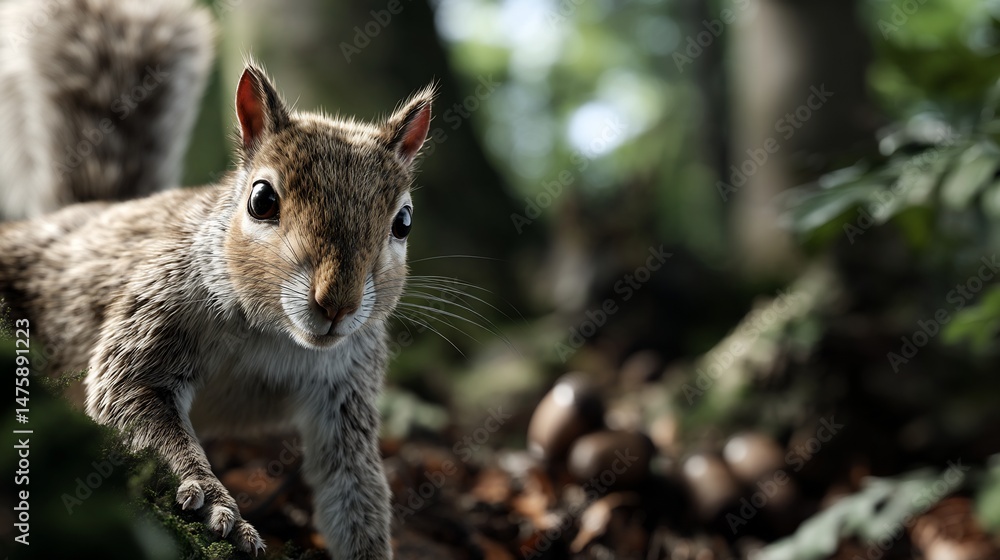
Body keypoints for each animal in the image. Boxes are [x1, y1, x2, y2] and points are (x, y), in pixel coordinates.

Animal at [0, 0, 434, 558]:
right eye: (261, 200)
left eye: (404, 222)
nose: (337, 303)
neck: (273, 334)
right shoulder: (156, 310)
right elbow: (132, 395)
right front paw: (212, 501)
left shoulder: (348, 385)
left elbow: (355, 486)